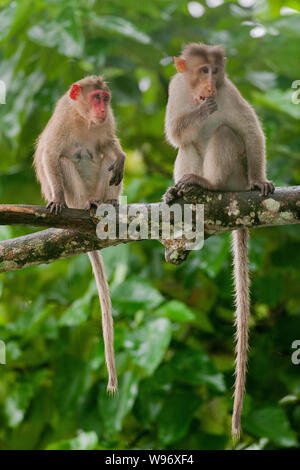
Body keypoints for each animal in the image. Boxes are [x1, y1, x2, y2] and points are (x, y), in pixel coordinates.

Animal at [33, 75, 125, 394]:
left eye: (106, 99)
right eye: (96, 97)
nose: (102, 108)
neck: (84, 119)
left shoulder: (107, 122)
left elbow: (110, 145)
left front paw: (121, 157)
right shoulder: (63, 118)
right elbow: (51, 154)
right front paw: (57, 200)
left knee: (108, 163)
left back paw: (107, 203)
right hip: (77, 194)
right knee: (63, 161)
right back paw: (84, 205)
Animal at [163, 43, 276, 440]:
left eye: (216, 71)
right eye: (203, 70)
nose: (210, 84)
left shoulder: (229, 92)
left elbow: (250, 130)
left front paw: (263, 181)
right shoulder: (176, 89)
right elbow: (175, 132)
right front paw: (200, 110)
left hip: (235, 175)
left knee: (227, 133)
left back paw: (209, 184)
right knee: (188, 146)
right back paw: (183, 189)